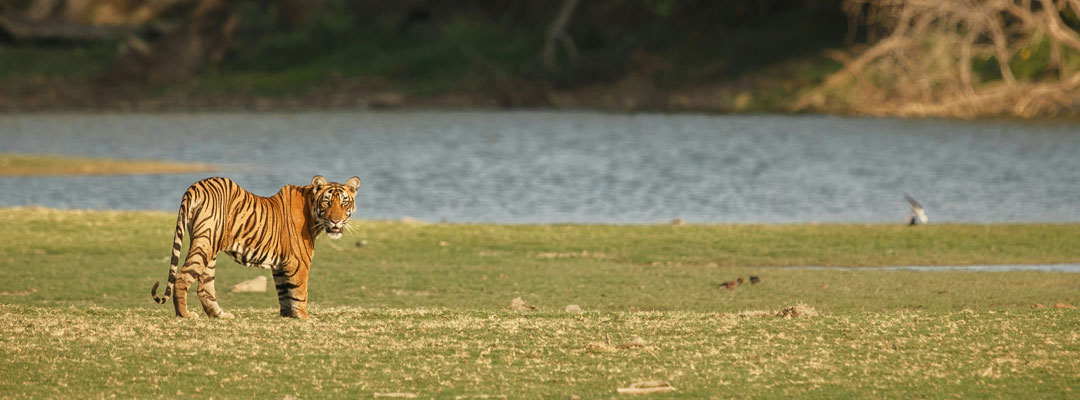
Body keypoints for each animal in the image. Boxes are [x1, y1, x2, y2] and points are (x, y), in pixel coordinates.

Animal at [151, 175, 361, 319]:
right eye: (327, 202)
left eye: (344, 202)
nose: (336, 221)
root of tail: (195, 186)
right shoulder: (299, 262)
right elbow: (300, 293)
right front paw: (303, 317)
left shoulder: (280, 266)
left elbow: (285, 294)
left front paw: (287, 317)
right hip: (206, 241)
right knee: (182, 275)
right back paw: (184, 314)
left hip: (209, 247)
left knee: (205, 286)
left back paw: (220, 315)